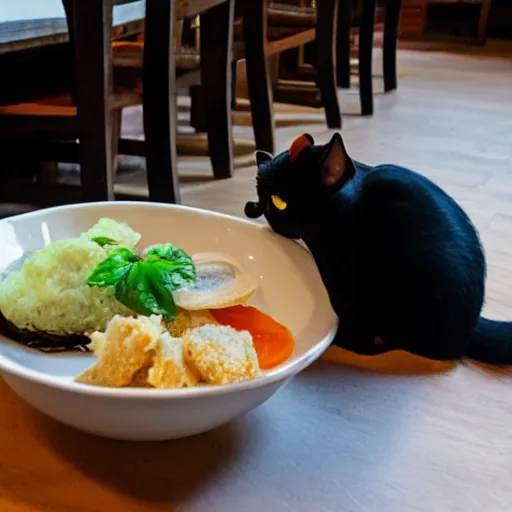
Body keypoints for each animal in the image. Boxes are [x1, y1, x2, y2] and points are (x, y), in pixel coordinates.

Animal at [245, 132, 512, 364]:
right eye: (261, 200)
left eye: (279, 202)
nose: (255, 209)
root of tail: (473, 327)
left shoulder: (346, 280)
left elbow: (359, 335)